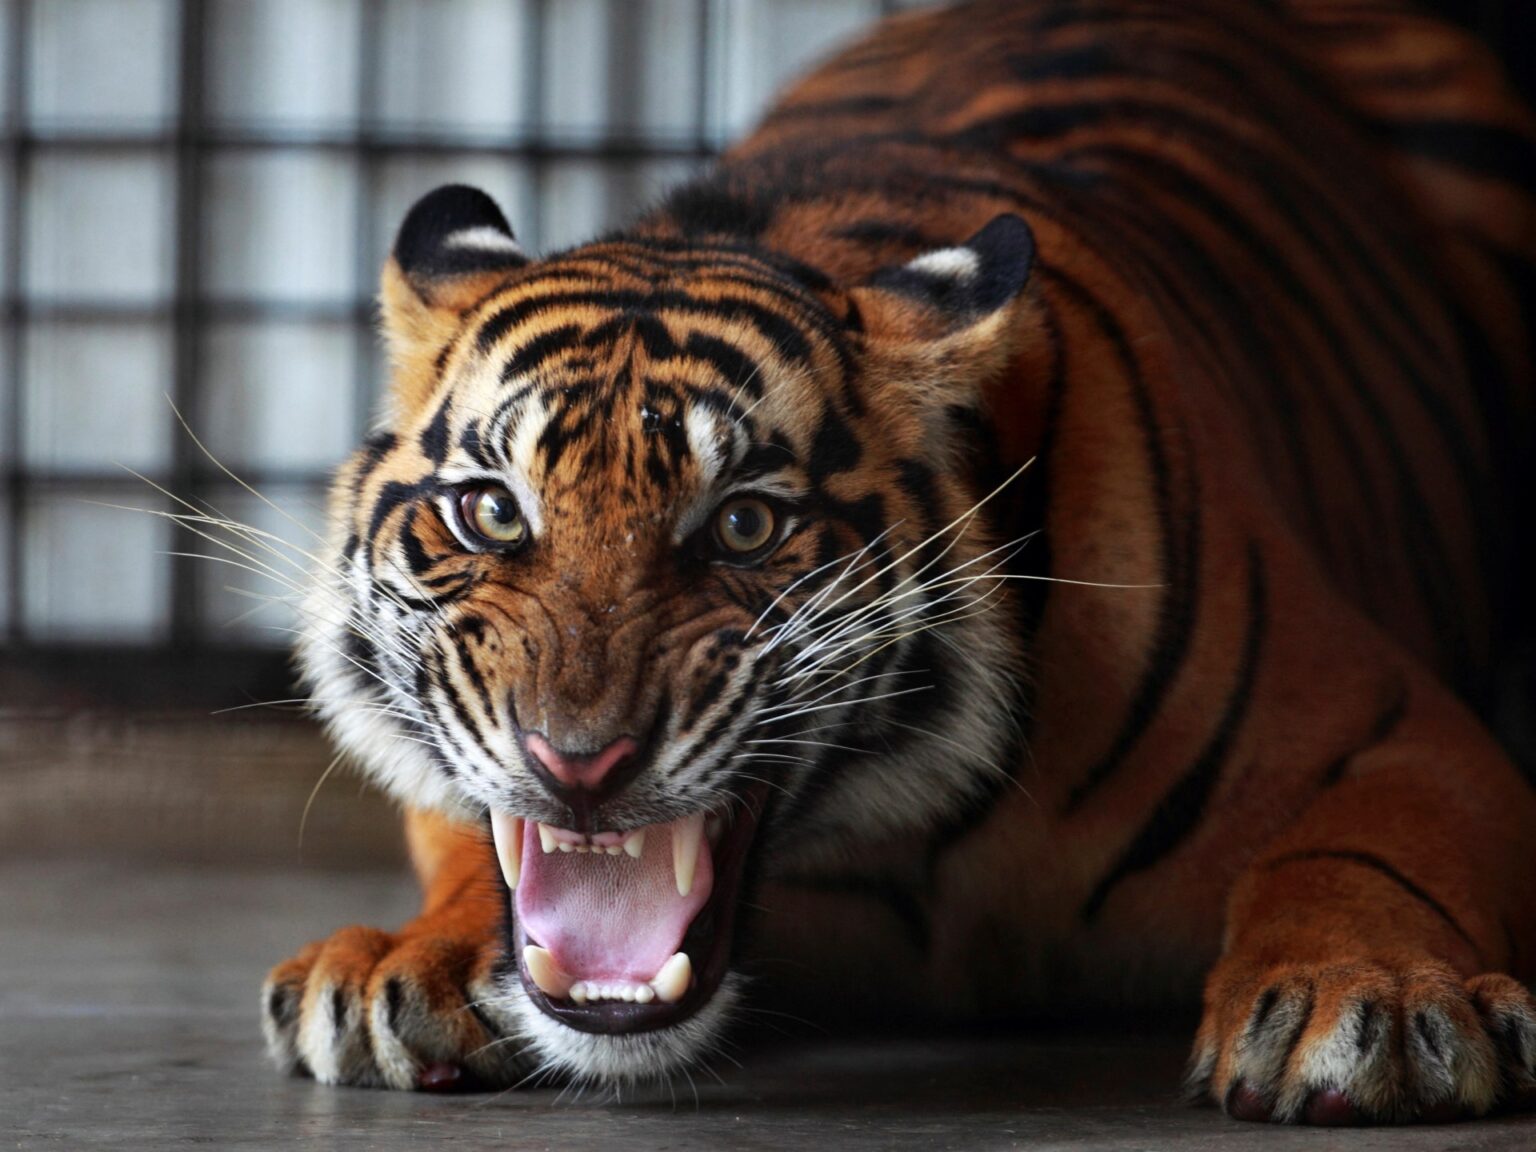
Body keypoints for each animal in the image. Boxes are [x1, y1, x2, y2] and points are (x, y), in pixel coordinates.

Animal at [259, 0, 1536, 1125]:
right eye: (491, 512)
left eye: (744, 526)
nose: (577, 765)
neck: (929, 837)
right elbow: (474, 848)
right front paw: (398, 968)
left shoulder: (1398, 730)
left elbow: (1356, 854)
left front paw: (1373, 1004)